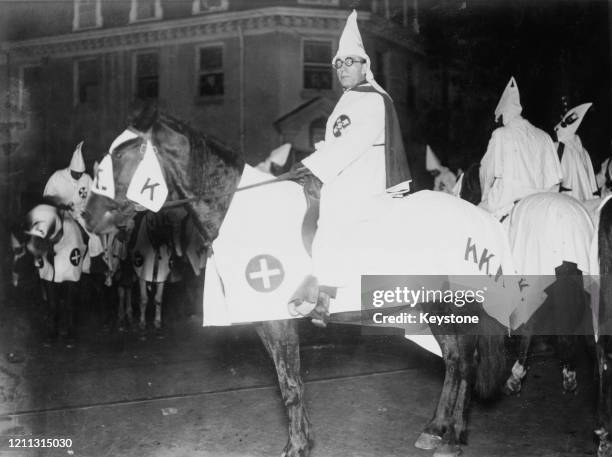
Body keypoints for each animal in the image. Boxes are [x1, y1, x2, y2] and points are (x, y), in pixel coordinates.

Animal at [82, 108, 536, 456]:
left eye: (124, 152)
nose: (88, 216)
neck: (244, 210)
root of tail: (478, 216)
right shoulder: (266, 322)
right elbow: (287, 381)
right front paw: (301, 440)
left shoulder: (280, 320)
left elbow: (291, 383)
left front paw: (297, 446)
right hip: (429, 307)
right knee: (455, 361)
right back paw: (435, 429)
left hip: (453, 305)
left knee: (466, 362)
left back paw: (455, 437)